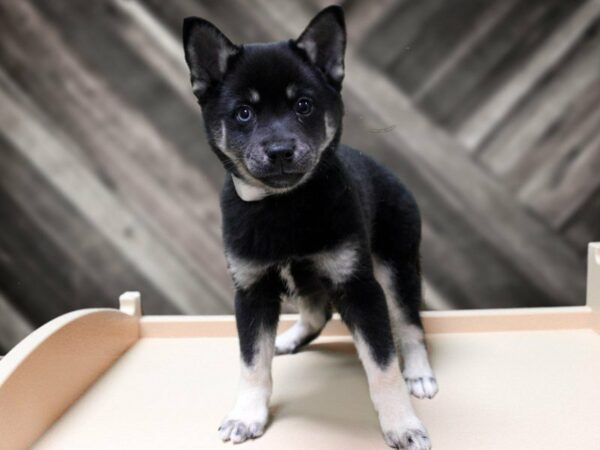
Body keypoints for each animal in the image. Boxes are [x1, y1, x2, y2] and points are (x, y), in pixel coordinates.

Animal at [182, 7, 436, 450]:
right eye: (244, 113)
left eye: (303, 105)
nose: (281, 151)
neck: (283, 203)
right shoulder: (252, 291)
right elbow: (252, 360)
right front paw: (246, 415)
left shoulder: (359, 288)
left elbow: (383, 365)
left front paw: (402, 424)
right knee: (316, 314)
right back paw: (286, 339)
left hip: (397, 265)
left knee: (409, 324)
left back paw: (419, 373)